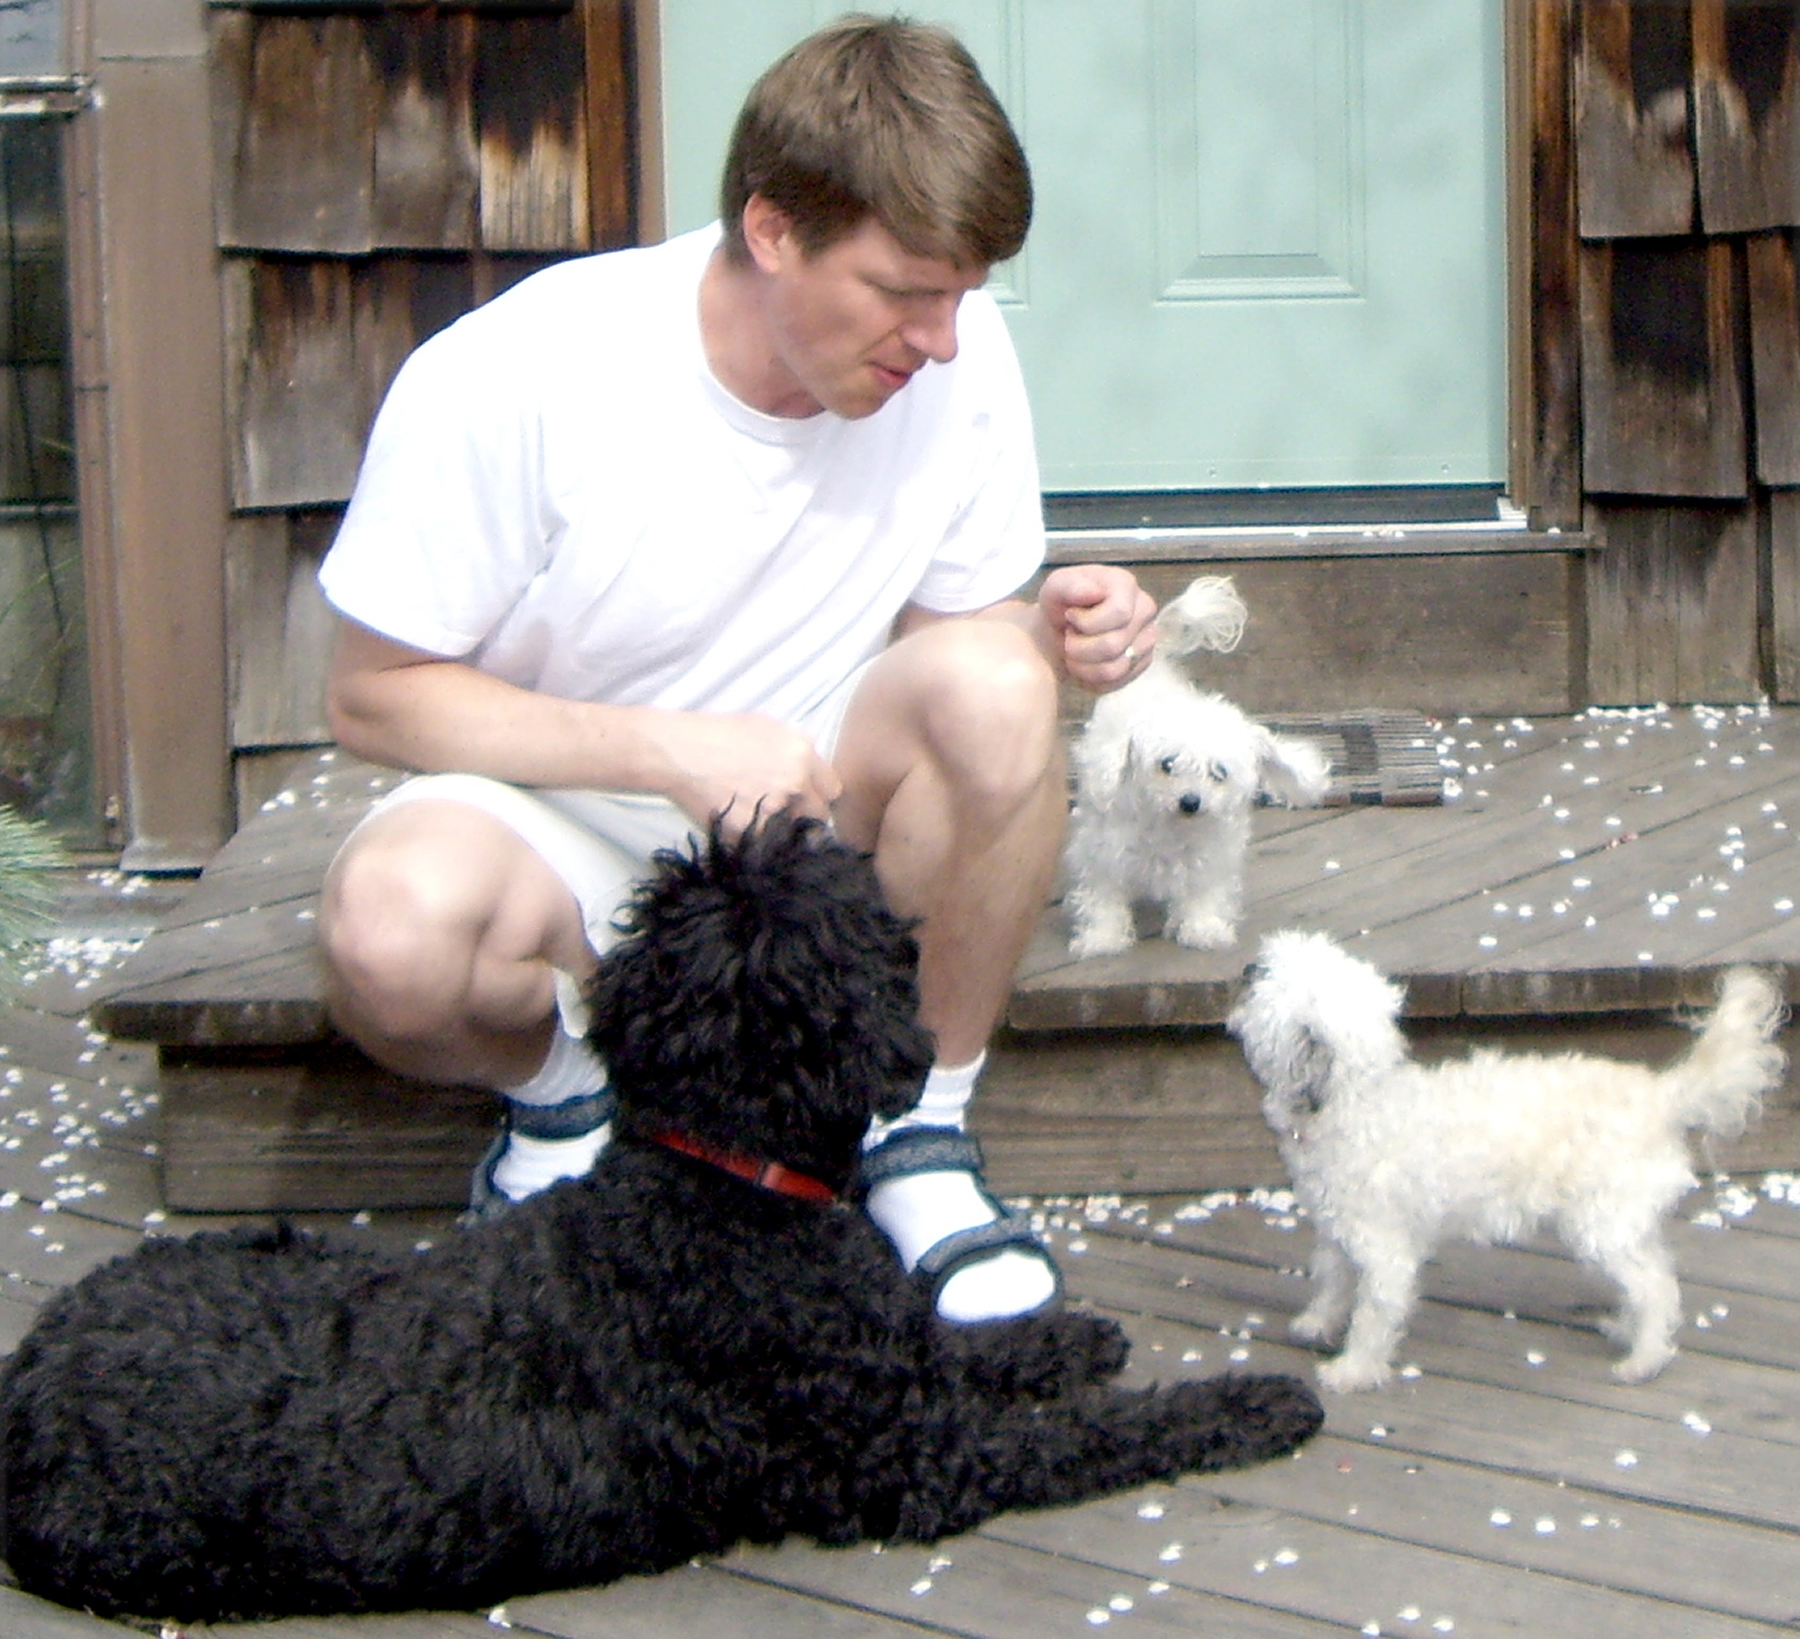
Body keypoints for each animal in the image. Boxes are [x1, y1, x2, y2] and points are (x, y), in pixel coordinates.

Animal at [0, 820, 1324, 1626]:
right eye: (856, 913)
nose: (872, 869)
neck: (718, 1182)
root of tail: (28, 1381)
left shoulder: (893, 1373)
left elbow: (958, 1342)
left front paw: (1061, 1337)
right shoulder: (917, 1457)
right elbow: (1100, 1433)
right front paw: (1249, 1401)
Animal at [1058, 579, 1332, 957]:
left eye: (1219, 773)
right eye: (1167, 764)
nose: (1190, 801)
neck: (1170, 830)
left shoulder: (1209, 859)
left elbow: (1205, 893)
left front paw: (1204, 928)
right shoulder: (1103, 854)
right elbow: (1104, 896)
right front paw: (1104, 937)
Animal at [1224, 928, 1785, 1388]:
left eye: (1268, 982)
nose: (1249, 966)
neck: (1356, 1098)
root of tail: (1662, 1094)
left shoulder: (1384, 1250)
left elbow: (1374, 1314)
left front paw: (1353, 1370)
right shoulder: (1339, 1231)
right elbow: (1331, 1279)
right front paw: (1317, 1323)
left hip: (1599, 1224)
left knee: (1654, 1288)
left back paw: (1643, 1360)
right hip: (1621, 1223)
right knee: (1654, 1275)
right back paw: (1628, 1331)